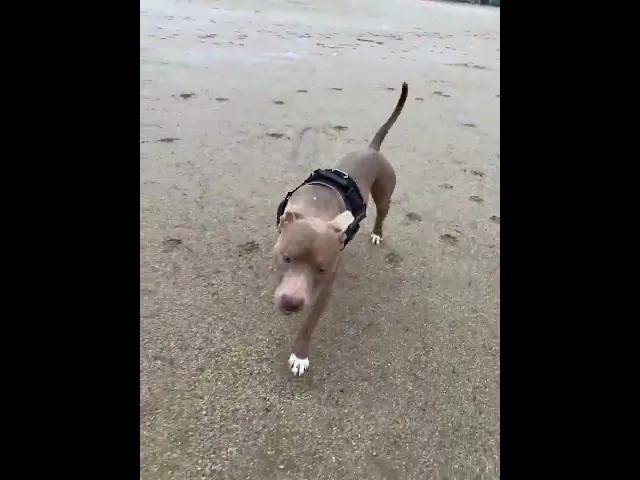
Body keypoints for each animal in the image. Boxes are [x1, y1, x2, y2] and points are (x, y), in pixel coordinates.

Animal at [273, 82, 408, 376]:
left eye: (321, 269)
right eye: (286, 258)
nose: (291, 303)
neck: (315, 208)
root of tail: (372, 149)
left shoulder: (325, 288)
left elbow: (309, 323)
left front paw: (299, 356)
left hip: (384, 193)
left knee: (382, 213)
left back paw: (377, 233)